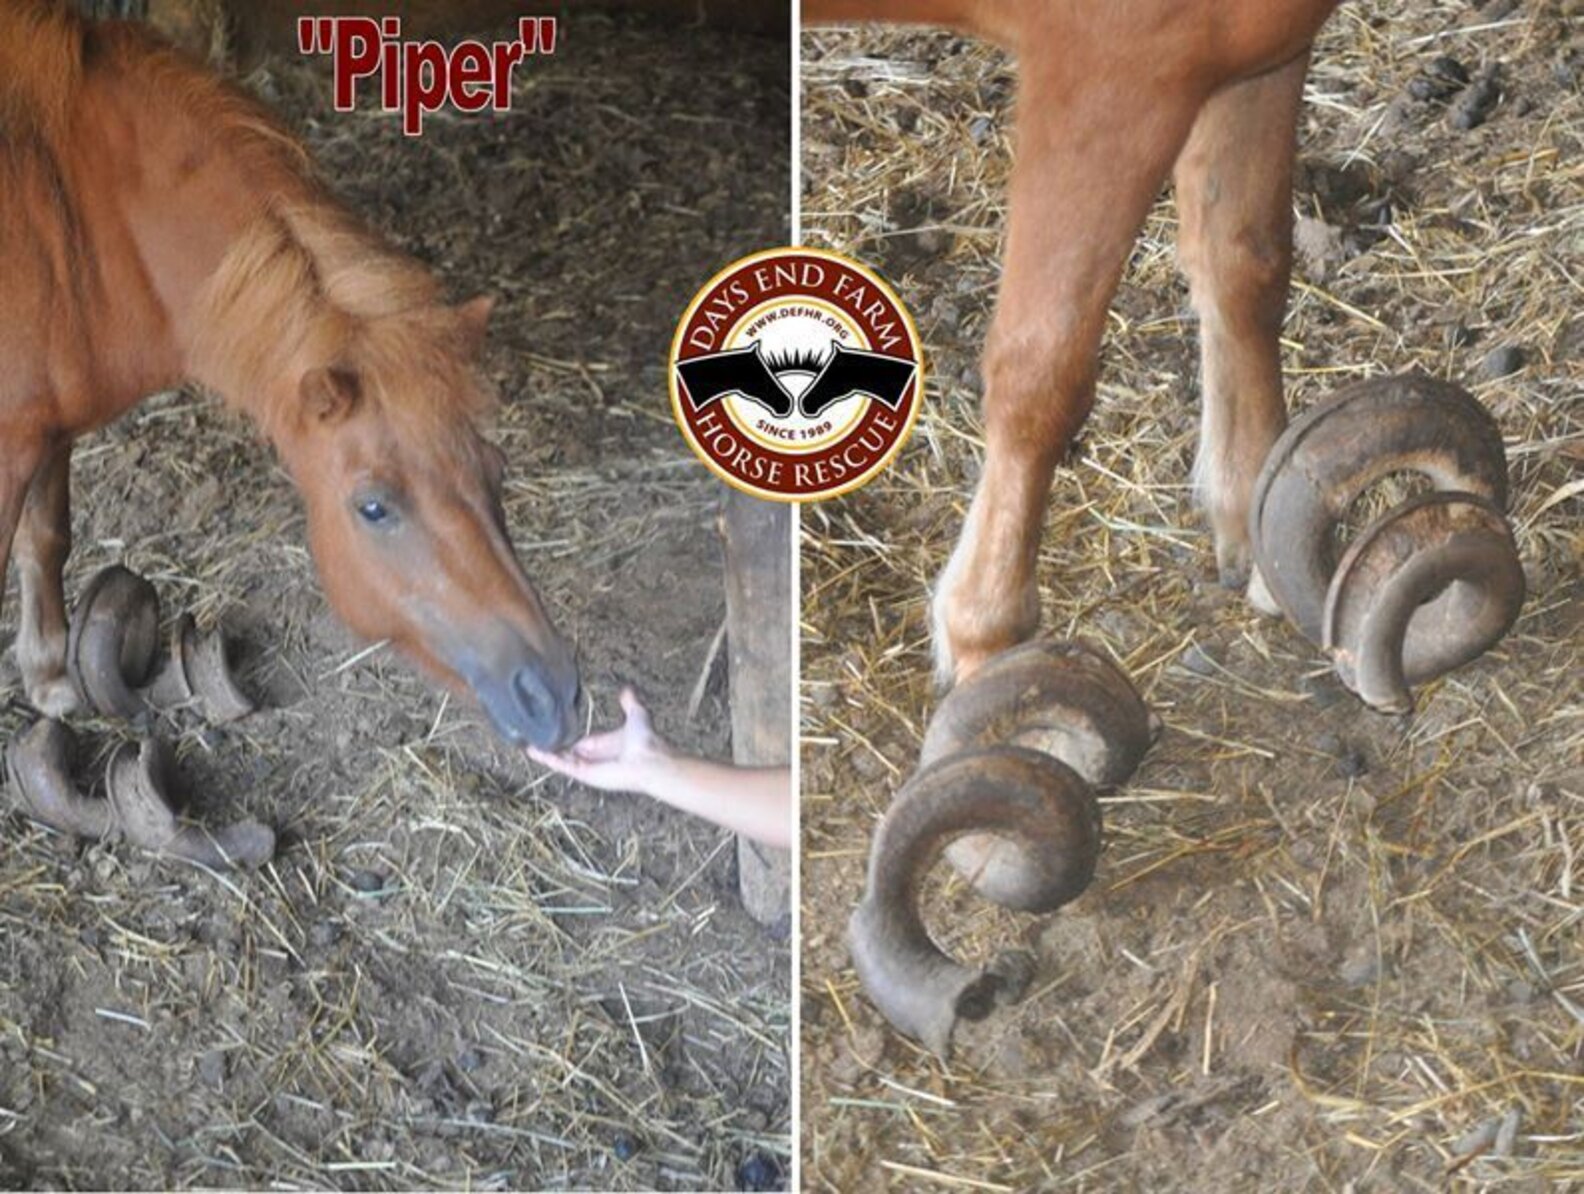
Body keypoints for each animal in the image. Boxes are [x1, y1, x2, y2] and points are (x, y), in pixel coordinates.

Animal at [0, 2, 580, 749]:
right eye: (373, 507)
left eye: (496, 468)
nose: (554, 694)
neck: (73, 217)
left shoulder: (47, 430)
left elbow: (47, 539)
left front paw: (49, 680)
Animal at [805, 0, 1343, 681]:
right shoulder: (1106, 75)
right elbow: (1043, 369)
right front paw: (988, 638)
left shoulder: (1255, 55)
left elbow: (1246, 266)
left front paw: (1259, 521)